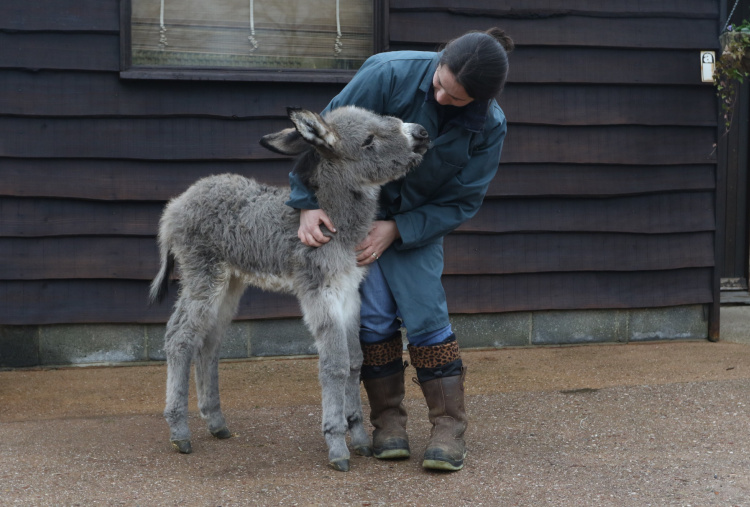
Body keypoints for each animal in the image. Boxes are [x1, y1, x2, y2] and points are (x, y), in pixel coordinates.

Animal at [150, 106, 432, 472]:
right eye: (369, 141)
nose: (422, 132)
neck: (334, 219)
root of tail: (176, 204)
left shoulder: (348, 292)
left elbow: (355, 361)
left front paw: (358, 437)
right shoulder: (320, 291)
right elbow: (336, 364)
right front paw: (337, 445)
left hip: (229, 283)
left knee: (208, 342)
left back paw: (215, 422)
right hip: (202, 274)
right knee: (180, 338)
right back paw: (180, 431)